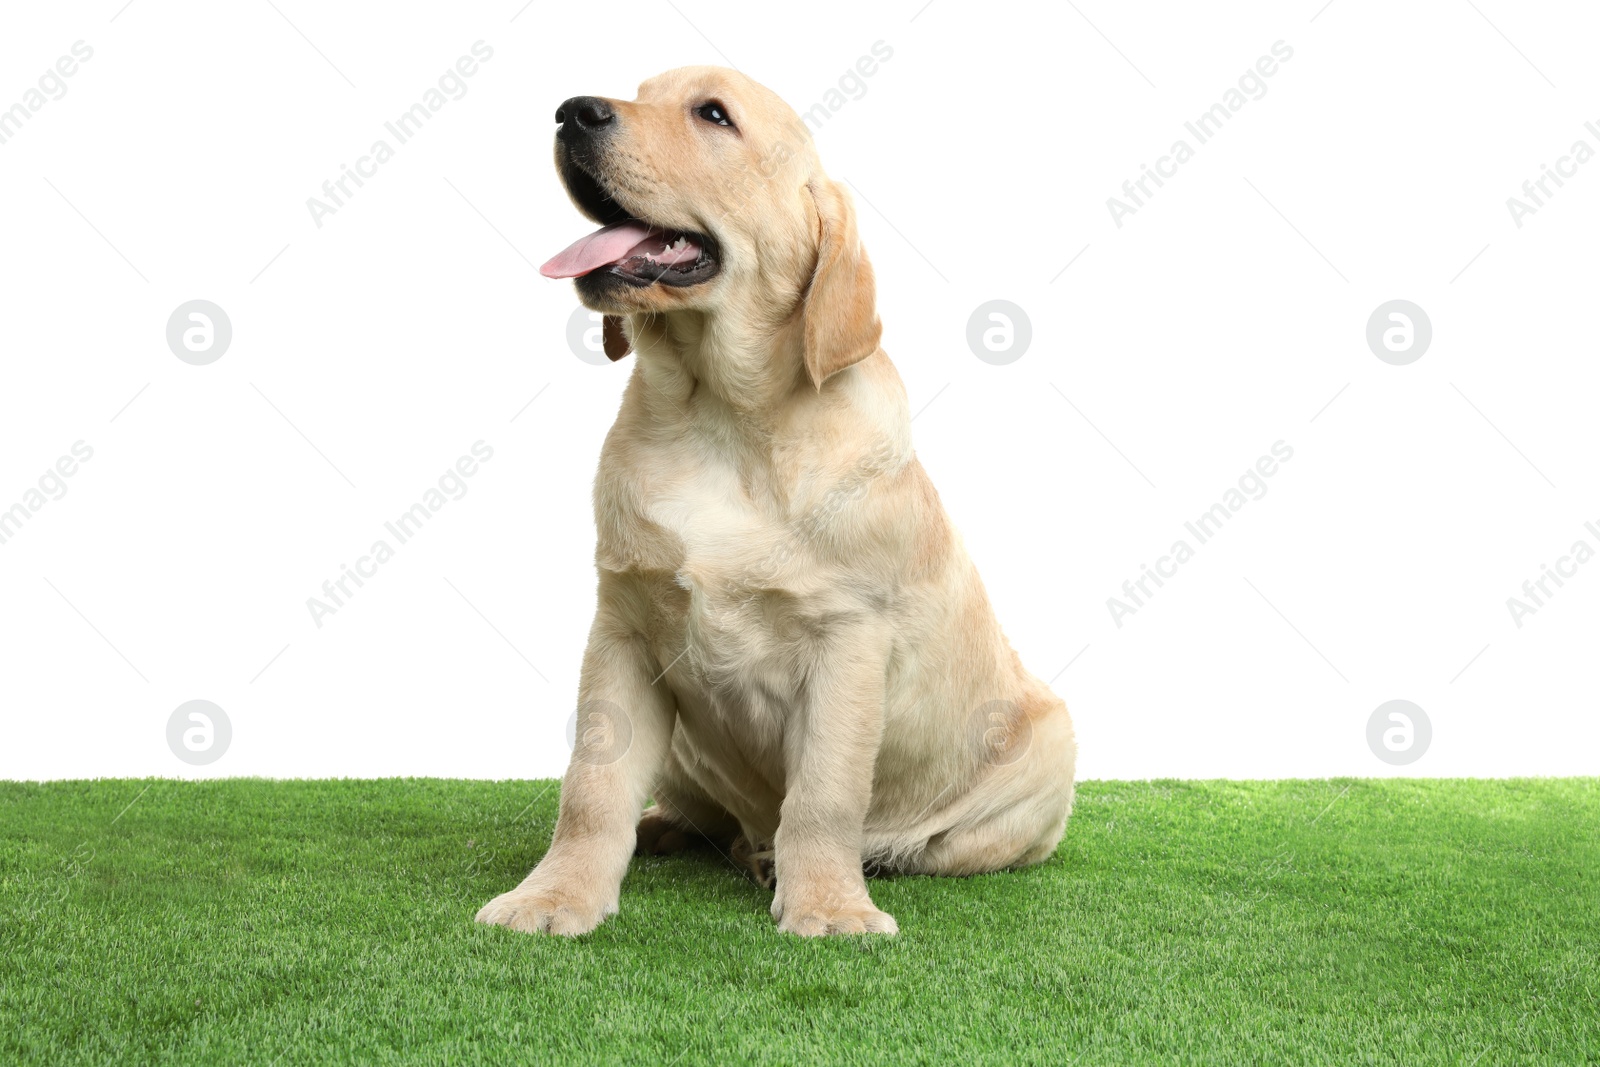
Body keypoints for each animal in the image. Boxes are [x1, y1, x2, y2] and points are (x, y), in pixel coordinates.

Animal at [473, 64, 1075, 934]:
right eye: (640, 92)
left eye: (713, 114)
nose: (572, 112)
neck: (718, 418)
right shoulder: (621, 627)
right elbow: (591, 785)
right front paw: (556, 893)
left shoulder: (847, 641)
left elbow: (824, 794)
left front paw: (828, 905)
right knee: (700, 813)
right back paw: (678, 830)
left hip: (1044, 757)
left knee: (905, 841)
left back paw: (801, 859)